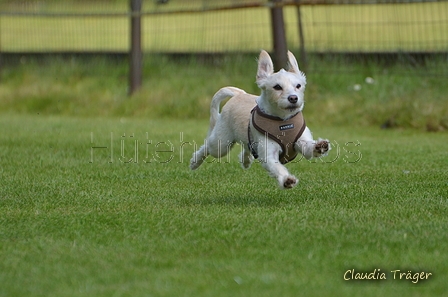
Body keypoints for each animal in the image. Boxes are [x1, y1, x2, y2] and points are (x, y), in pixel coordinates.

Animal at [189, 48, 328, 187]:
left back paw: (246, 160)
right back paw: (195, 161)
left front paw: (319, 146)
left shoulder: (302, 140)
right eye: (277, 87)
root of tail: (239, 94)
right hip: (221, 143)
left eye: (298, 86)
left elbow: (308, 148)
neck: (283, 121)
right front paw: (286, 179)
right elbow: (276, 166)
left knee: (246, 146)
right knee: (208, 147)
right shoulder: (268, 154)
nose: (293, 98)